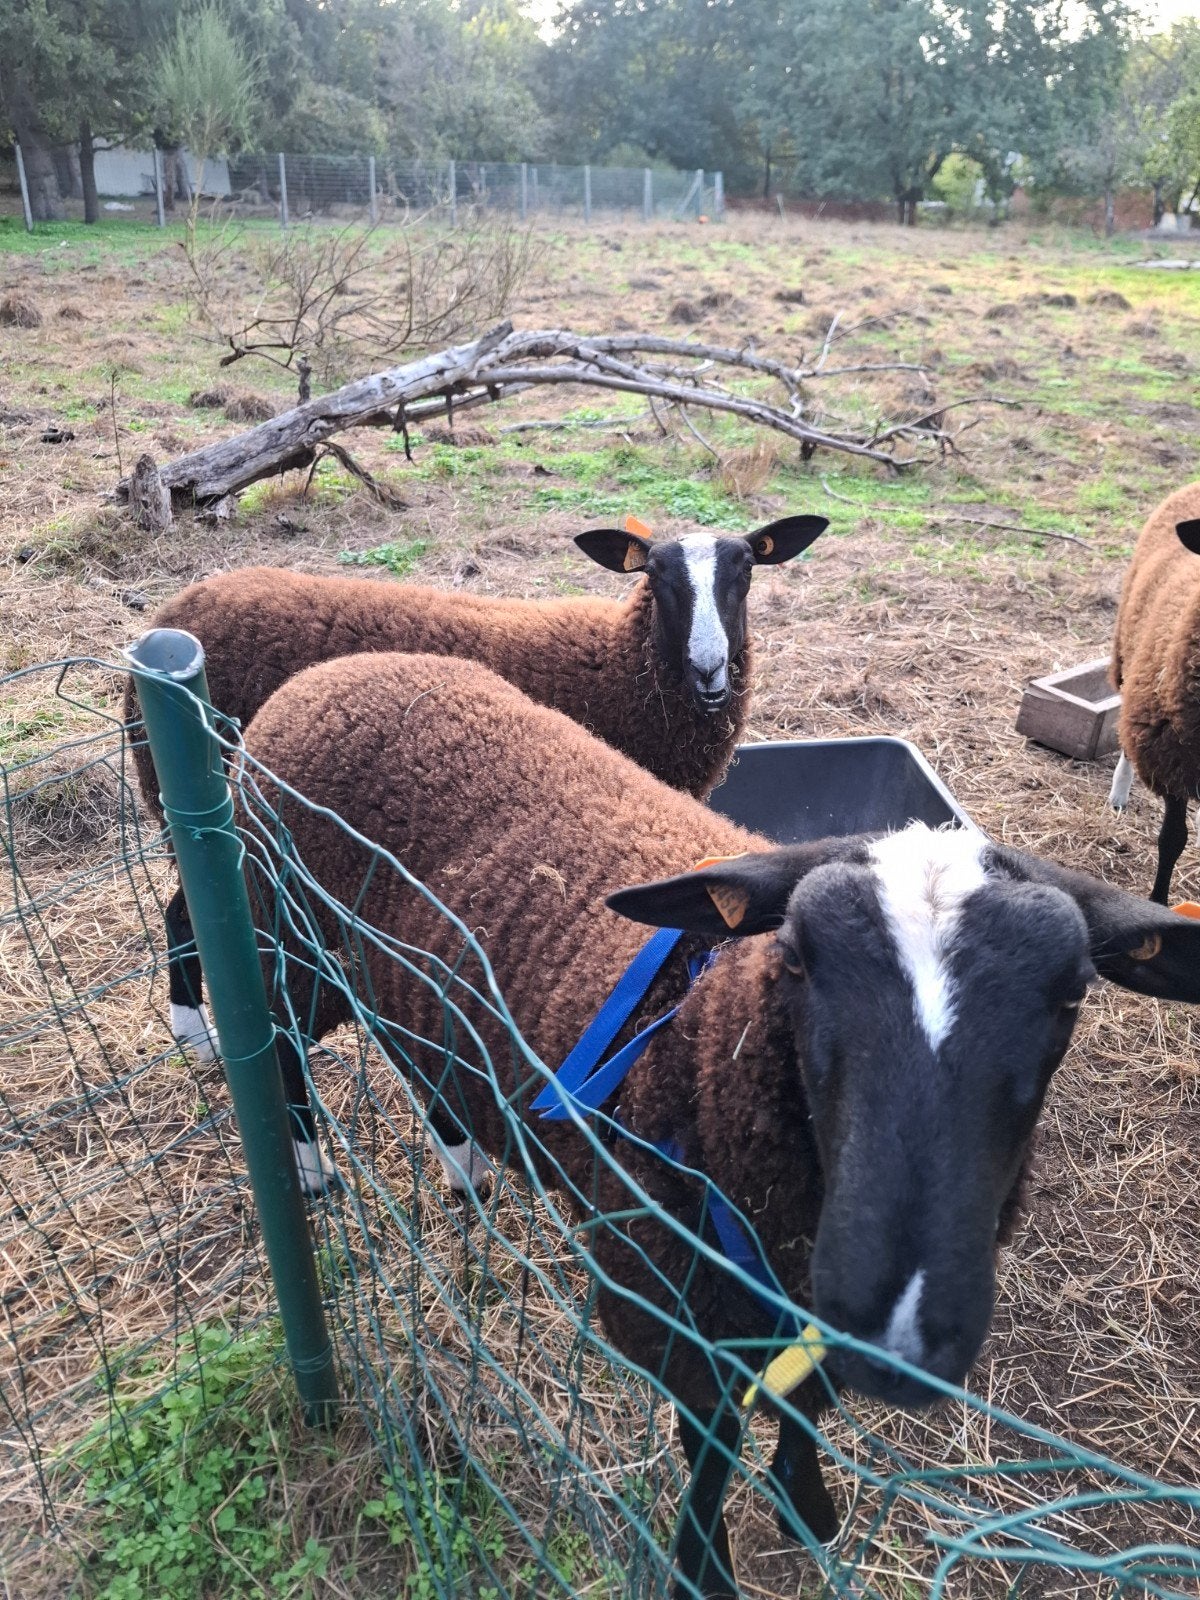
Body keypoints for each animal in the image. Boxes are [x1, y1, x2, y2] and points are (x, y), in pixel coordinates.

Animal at [127, 514, 828, 1083]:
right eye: (655, 574)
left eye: (747, 568)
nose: (710, 670)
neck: (619, 664)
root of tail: (162, 622)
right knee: (187, 915)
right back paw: (201, 1042)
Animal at [239, 650, 1200, 1600]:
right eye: (798, 957)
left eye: (1072, 993)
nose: (897, 1327)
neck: (703, 1046)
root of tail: (339, 670)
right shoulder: (671, 1313)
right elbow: (710, 1449)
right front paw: (704, 1566)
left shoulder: (798, 1305)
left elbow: (800, 1410)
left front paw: (807, 1506)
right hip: (288, 933)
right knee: (273, 1041)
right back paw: (309, 1172)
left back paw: (465, 1170)